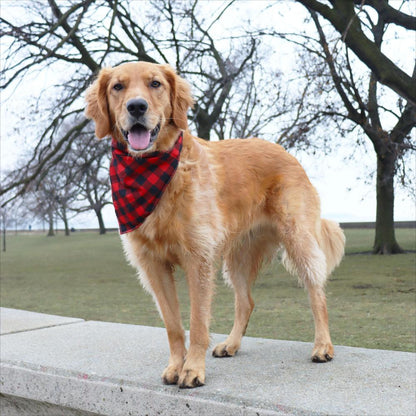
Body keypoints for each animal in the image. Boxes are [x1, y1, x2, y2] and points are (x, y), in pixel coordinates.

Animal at [84, 60, 344, 388]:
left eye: (155, 84)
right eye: (118, 86)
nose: (137, 106)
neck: (155, 171)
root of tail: (285, 152)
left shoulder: (198, 259)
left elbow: (197, 323)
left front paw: (193, 369)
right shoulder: (153, 264)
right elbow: (173, 325)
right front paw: (176, 365)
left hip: (298, 239)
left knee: (317, 293)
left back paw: (323, 346)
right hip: (238, 257)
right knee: (246, 301)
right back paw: (231, 344)